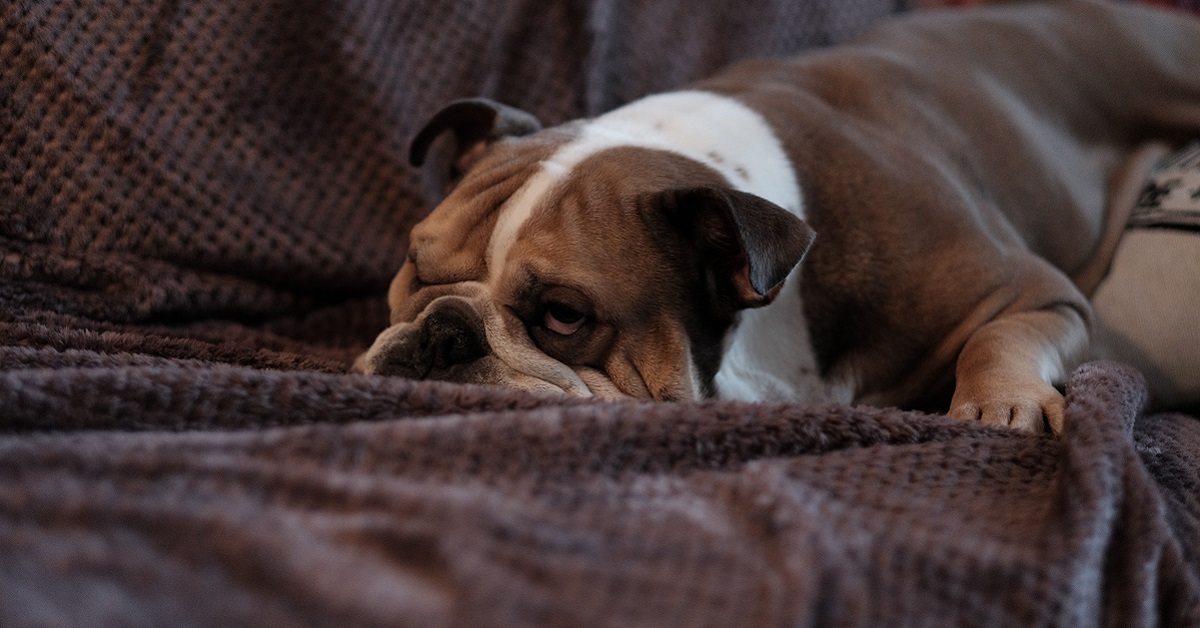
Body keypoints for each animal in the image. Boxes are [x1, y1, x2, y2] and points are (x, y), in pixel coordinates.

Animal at [360, 0, 1200, 432]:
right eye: (414, 268)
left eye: (564, 316)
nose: (442, 330)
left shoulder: (1042, 293)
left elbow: (998, 336)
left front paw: (1001, 404)